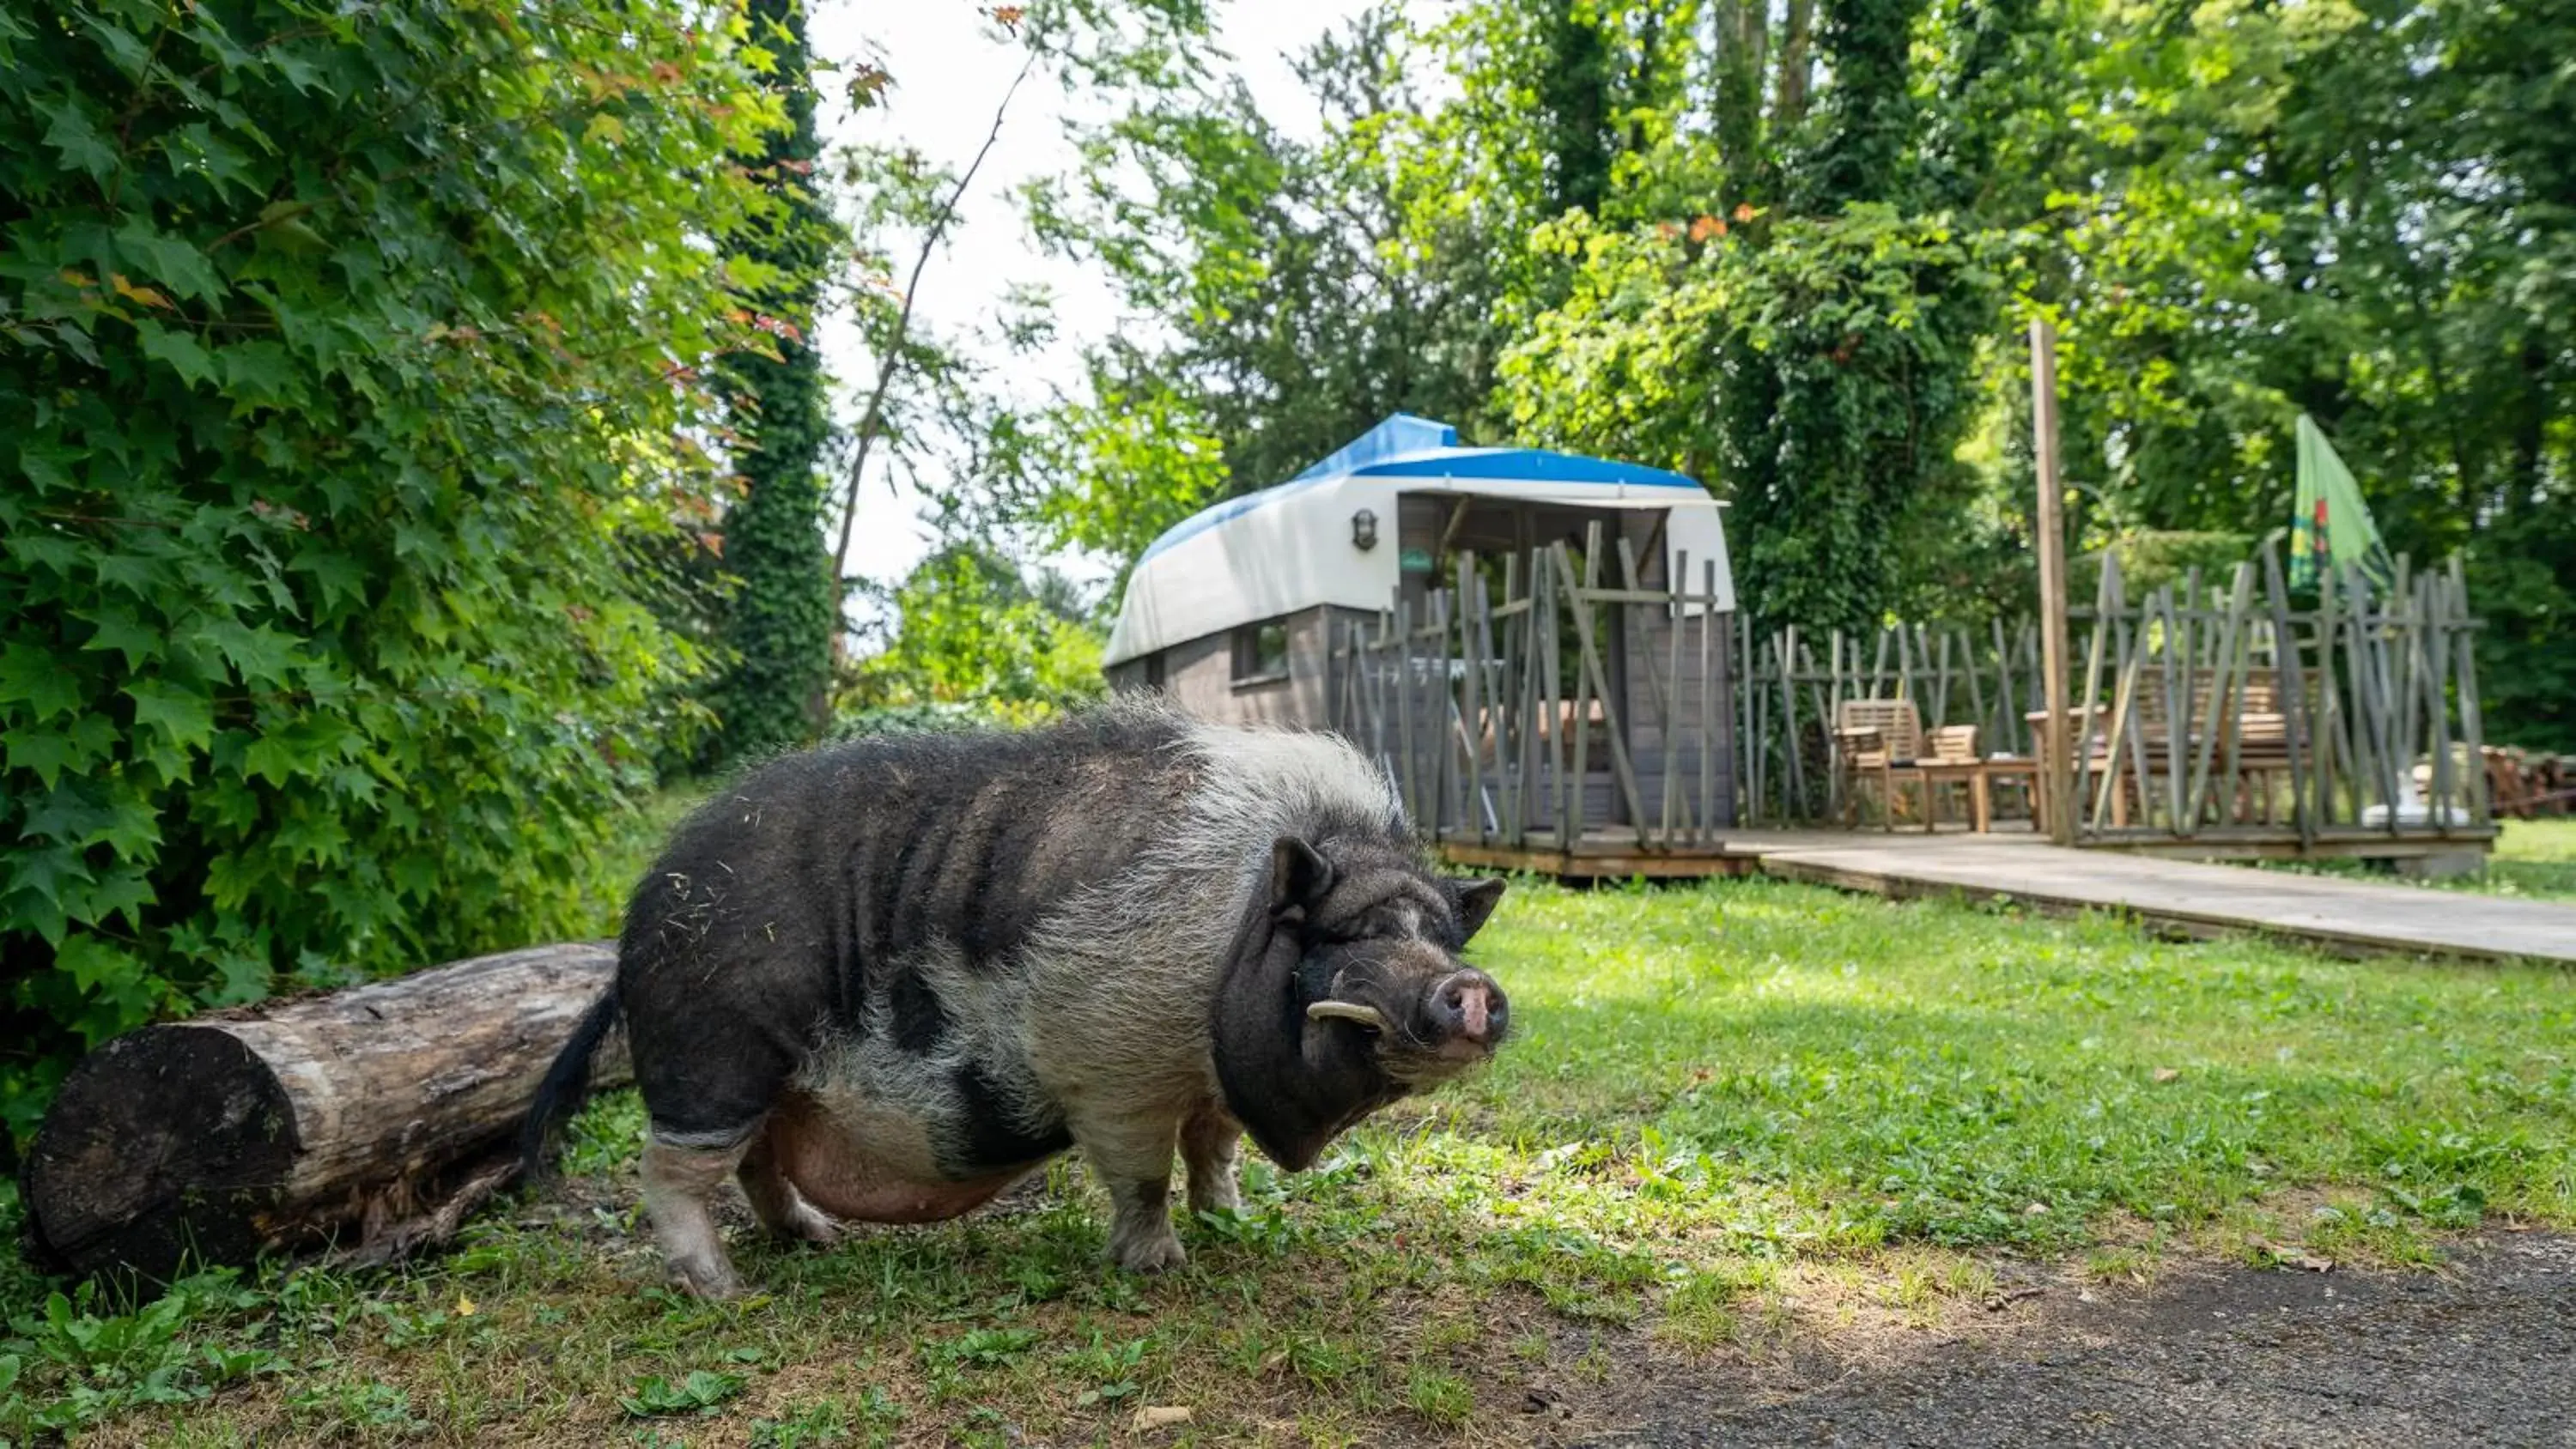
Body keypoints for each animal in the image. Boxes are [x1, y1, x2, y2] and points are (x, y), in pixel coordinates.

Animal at [523, 694, 1504, 1297]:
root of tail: (635, 927)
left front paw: (1232, 1216)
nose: (1469, 989)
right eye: (1344, 937)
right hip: (714, 1052)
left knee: (759, 1162)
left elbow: (1213, 1146)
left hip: (774, 1077)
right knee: (671, 1170)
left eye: (1441, 936)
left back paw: (814, 1237)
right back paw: (725, 1290)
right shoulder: (1111, 1063)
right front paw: (1159, 1266)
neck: (1233, 931)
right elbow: (1141, 1171)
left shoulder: (1205, 1078)